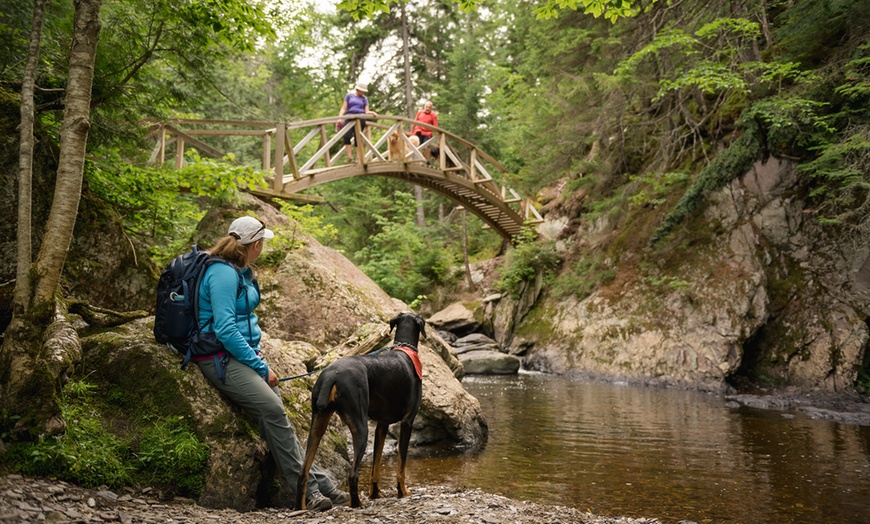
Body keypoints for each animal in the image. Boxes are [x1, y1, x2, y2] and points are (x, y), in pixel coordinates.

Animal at [296, 312, 426, 508]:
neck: (405, 350)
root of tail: (332, 374)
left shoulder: (381, 426)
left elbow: (376, 467)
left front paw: (375, 493)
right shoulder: (407, 422)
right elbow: (401, 466)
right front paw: (402, 492)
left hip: (317, 425)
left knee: (303, 472)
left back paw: (301, 508)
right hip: (361, 426)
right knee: (352, 474)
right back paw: (357, 504)